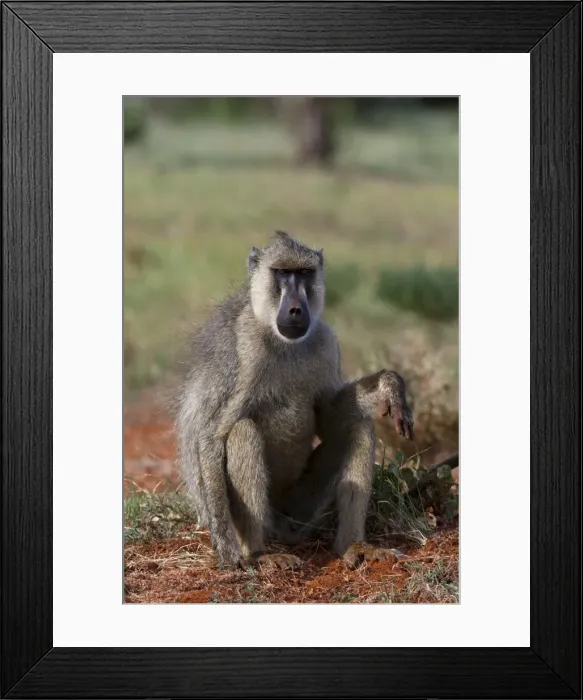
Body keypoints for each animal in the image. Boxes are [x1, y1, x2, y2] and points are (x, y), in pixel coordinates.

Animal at [176, 231, 414, 570]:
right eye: (281, 273)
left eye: (303, 273)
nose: (296, 310)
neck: (282, 342)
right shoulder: (243, 353)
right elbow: (211, 436)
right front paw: (226, 552)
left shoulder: (325, 341)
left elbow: (330, 417)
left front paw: (388, 385)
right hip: (269, 517)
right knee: (243, 432)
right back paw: (258, 553)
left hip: (301, 510)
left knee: (359, 427)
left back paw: (354, 545)